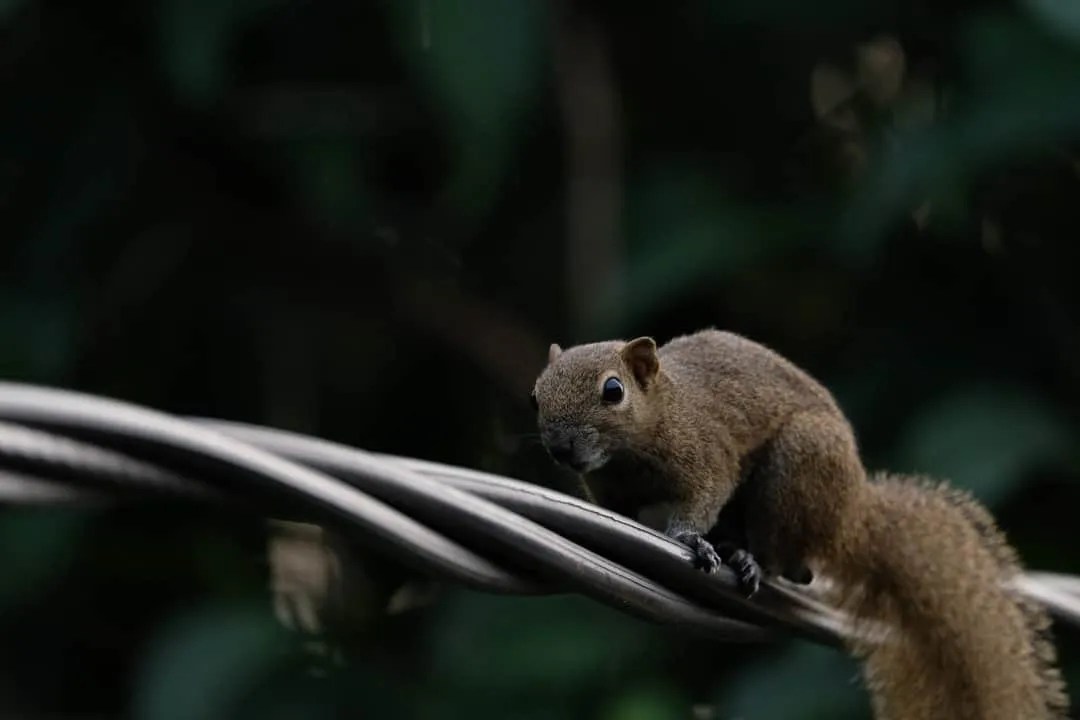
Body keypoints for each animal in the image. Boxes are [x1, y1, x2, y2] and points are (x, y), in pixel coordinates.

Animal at [530, 328, 1069, 719]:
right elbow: (618, 512)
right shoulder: (608, 487)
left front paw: (689, 539)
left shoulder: (707, 454)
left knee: (785, 556)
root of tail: (851, 517)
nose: (560, 447)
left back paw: (751, 560)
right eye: (536, 394)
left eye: (613, 390)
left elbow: (702, 497)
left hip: (798, 469)